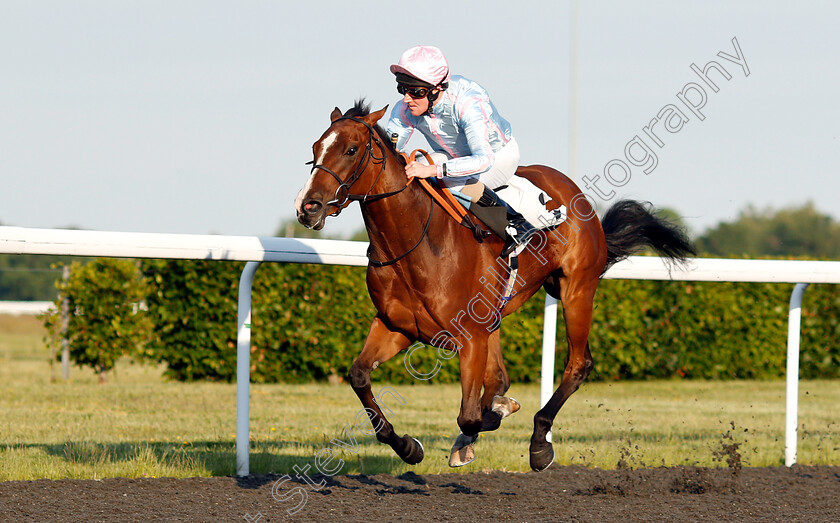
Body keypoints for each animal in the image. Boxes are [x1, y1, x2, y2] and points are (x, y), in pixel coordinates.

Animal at [296, 100, 696, 472]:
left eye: (351, 149)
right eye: (315, 148)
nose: (307, 206)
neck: (417, 243)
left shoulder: (469, 337)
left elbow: (470, 415)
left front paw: (498, 415)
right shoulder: (398, 326)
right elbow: (359, 375)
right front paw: (409, 447)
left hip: (577, 289)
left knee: (578, 364)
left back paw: (539, 443)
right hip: (499, 312)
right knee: (501, 375)